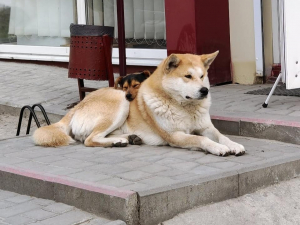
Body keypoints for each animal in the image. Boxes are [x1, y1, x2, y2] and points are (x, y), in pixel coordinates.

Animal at [34, 51, 246, 156]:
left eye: (202, 76)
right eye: (188, 76)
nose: (204, 91)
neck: (185, 108)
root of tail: (77, 105)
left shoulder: (206, 127)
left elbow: (221, 136)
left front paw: (233, 144)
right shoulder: (175, 136)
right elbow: (201, 140)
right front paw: (218, 148)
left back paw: (126, 139)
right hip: (121, 100)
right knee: (89, 139)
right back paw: (118, 141)